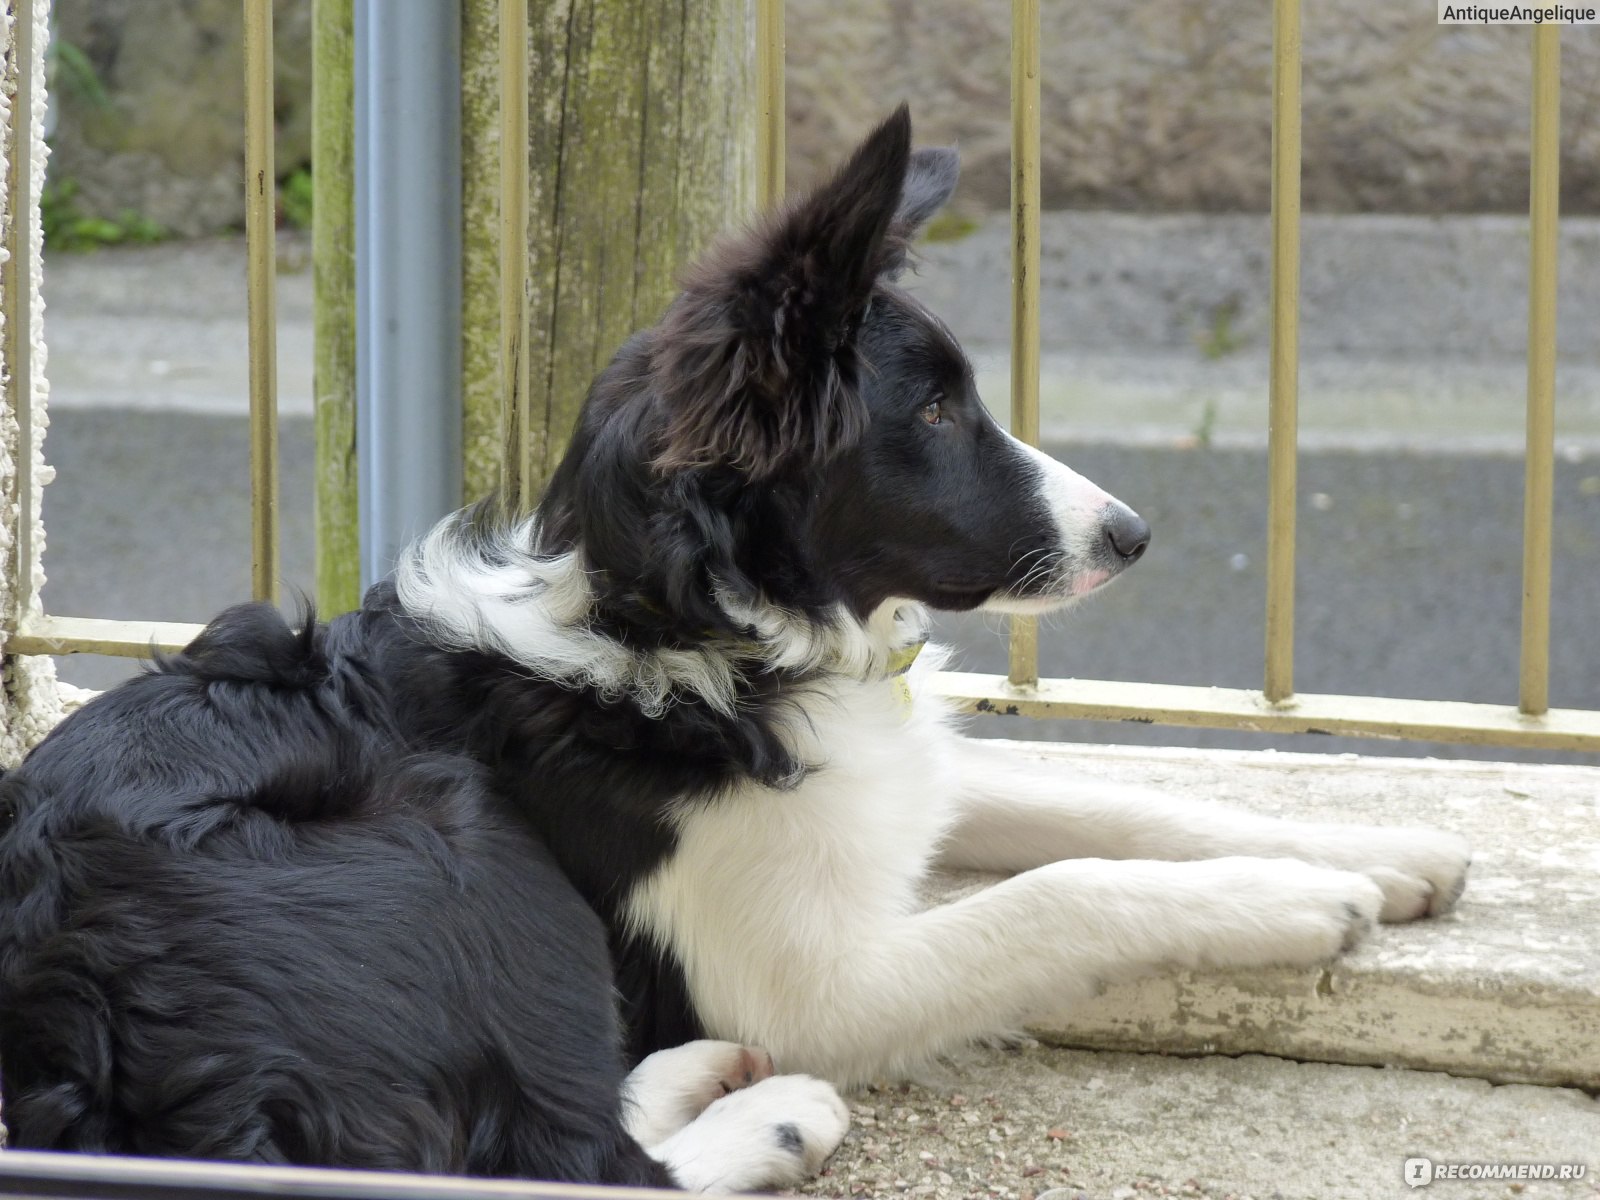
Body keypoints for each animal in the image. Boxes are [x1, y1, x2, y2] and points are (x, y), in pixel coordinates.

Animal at [3, 110, 1472, 1196]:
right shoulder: (819, 983)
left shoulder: (892, 777)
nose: (1133, 532)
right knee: (564, 1163)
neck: (699, 633)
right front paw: (1295, 902)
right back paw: (764, 1116)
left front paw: (1379, 853)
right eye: (934, 413)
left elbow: (1118, 806)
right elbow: (1059, 895)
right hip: (460, 842)